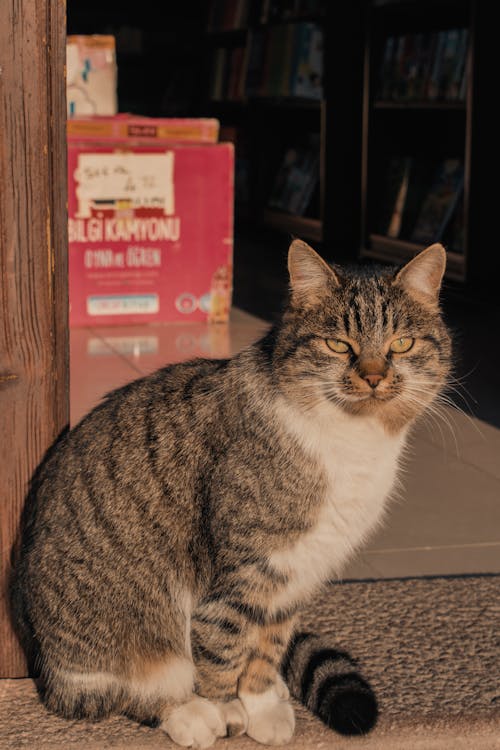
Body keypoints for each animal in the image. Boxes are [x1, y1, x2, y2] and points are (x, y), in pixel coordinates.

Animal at [9, 239, 452, 748]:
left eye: (402, 343)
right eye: (338, 344)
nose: (374, 377)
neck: (354, 440)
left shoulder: (295, 573)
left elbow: (266, 649)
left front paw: (261, 706)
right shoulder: (241, 576)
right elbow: (221, 651)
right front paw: (226, 712)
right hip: (110, 645)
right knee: (112, 694)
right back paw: (188, 714)